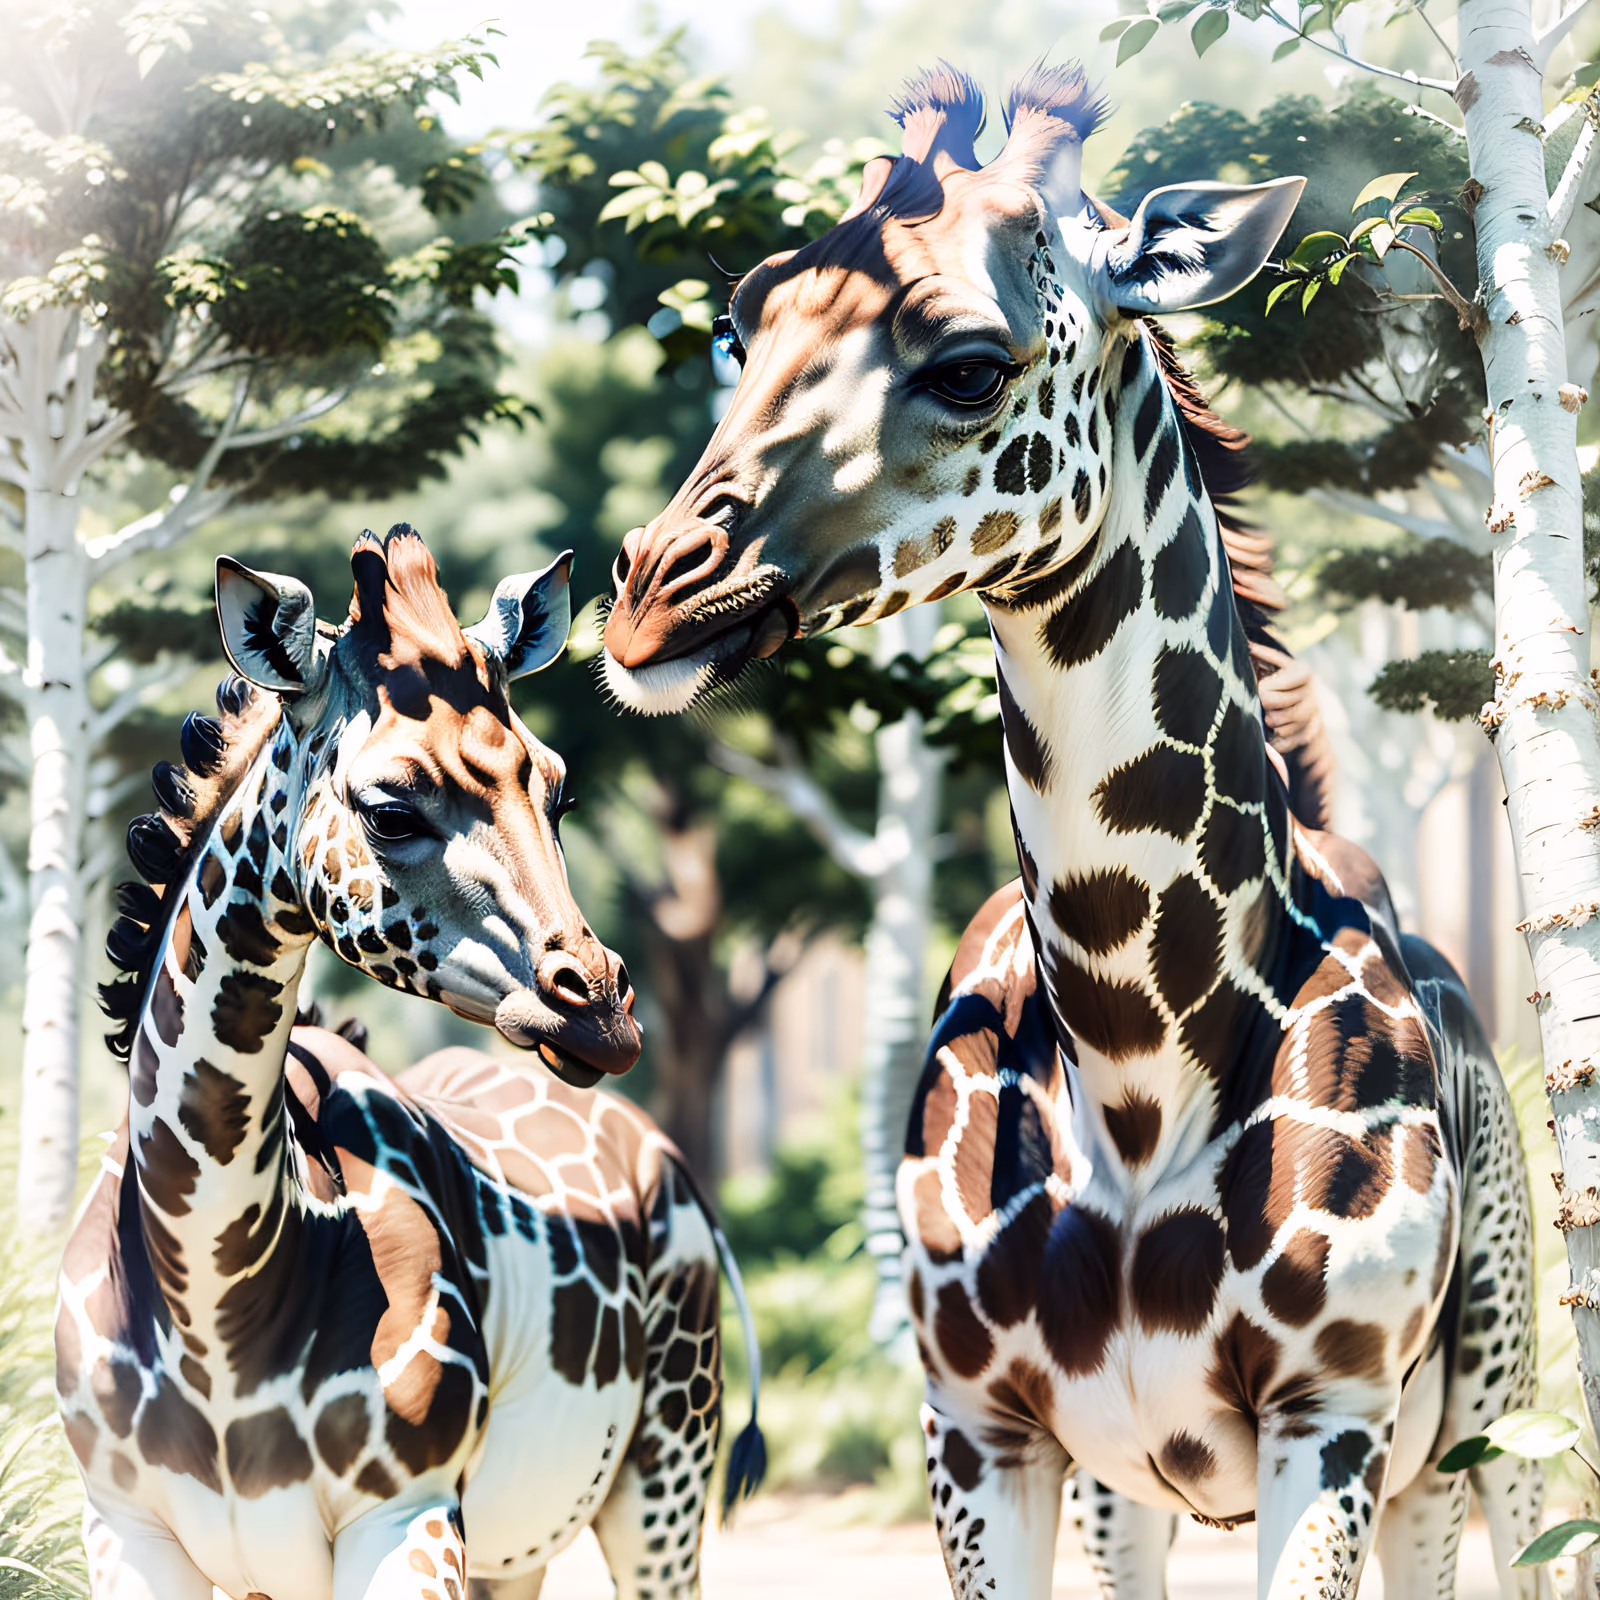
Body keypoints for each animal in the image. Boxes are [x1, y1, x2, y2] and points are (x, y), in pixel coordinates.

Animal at [56, 525, 763, 1600]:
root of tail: (664, 1154)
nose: (602, 1011)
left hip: (666, 1475)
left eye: (560, 789)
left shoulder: (406, 1515)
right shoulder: (126, 1532)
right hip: (525, 1543)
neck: (211, 1302)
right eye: (390, 809)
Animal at [598, 62, 1544, 1600]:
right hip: (1154, 1487)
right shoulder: (980, 1427)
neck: (1135, 1069)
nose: (651, 603)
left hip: (1485, 1412)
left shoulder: (1329, 1412)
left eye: (968, 365)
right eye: (741, 324)